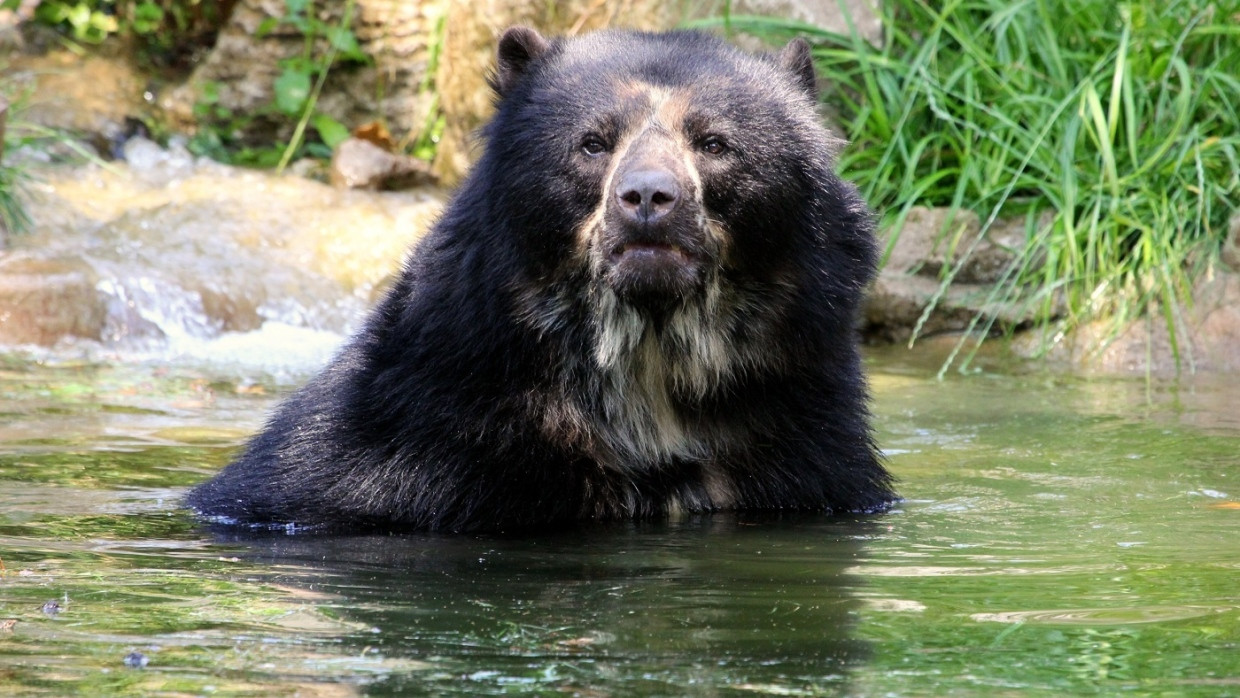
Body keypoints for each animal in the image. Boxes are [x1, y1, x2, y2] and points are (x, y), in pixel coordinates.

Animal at [186, 24, 892, 533]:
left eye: (715, 144)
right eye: (592, 143)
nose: (648, 198)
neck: (648, 359)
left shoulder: (805, 444)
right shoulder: (411, 439)